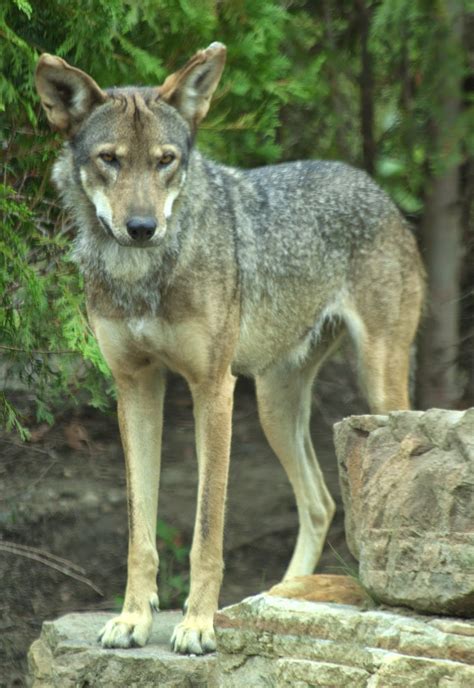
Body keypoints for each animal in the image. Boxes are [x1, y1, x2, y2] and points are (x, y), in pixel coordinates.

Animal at [35, 43, 424, 656]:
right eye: (110, 160)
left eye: (165, 161)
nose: (141, 226)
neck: (143, 274)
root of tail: (372, 185)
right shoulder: (136, 387)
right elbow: (139, 532)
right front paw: (132, 618)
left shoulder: (212, 389)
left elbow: (206, 532)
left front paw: (198, 625)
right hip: (272, 406)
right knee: (321, 503)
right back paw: (280, 597)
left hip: (376, 386)